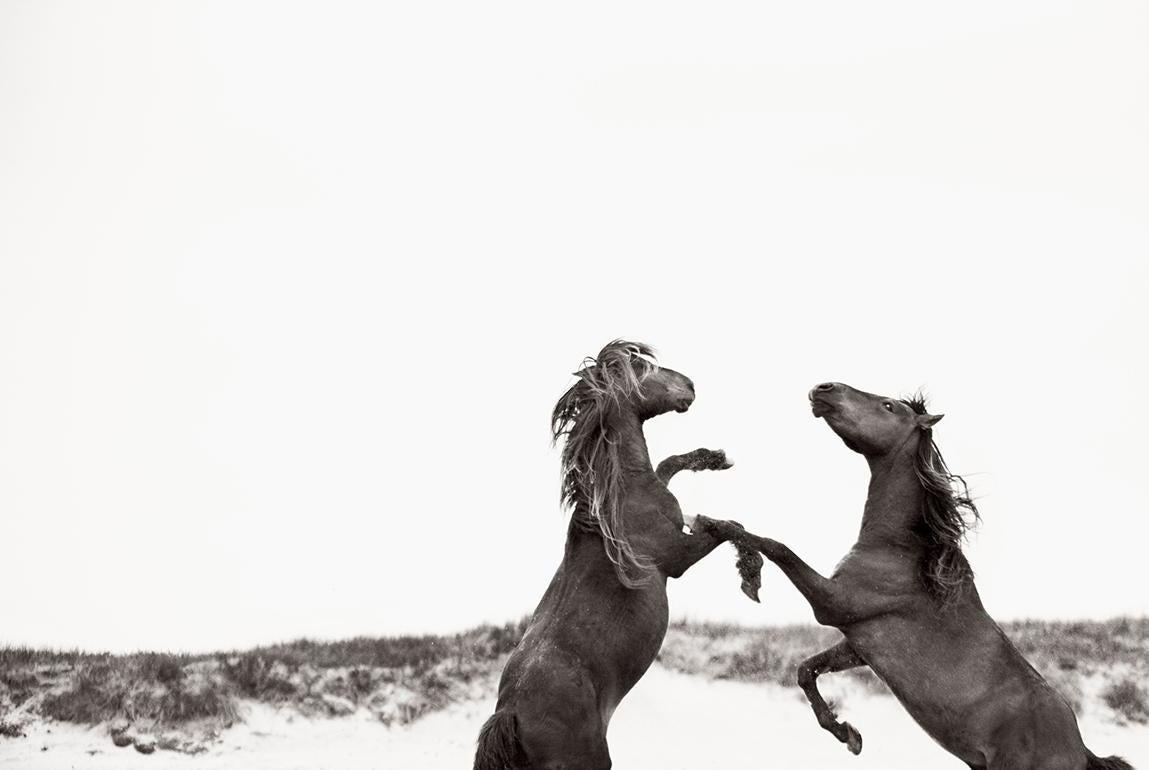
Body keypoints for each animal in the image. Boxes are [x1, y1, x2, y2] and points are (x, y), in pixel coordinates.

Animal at [473, 342, 749, 770]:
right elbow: (728, 529)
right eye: (644, 368)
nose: (690, 385)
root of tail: (510, 714)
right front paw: (751, 574)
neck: (618, 499)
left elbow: (669, 464)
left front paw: (716, 457)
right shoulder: (677, 556)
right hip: (592, 760)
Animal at [744, 383, 1130, 770]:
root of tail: (1081, 751)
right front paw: (849, 735)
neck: (900, 549)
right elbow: (805, 670)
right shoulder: (859, 644)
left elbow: (775, 547)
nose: (824, 389)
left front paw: (745, 567)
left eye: (888, 406)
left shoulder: (834, 603)